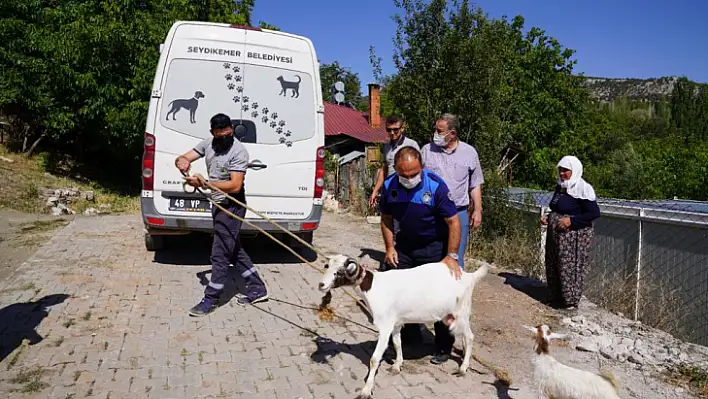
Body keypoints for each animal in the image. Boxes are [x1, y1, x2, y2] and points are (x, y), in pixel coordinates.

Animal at [320, 255, 490, 398]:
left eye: (339, 272)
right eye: (327, 266)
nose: (321, 284)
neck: (374, 288)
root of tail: (469, 276)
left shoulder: (385, 325)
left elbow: (374, 359)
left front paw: (366, 390)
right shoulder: (396, 323)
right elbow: (397, 343)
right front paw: (397, 366)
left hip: (461, 312)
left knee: (470, 337)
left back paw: (463, 368)